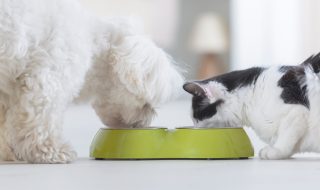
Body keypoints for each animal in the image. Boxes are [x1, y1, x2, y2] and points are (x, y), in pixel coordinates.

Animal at [0, 0, 182, 163]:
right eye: (145, 104)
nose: (143, 123)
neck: (93, 41)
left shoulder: (6, 89)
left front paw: (8, 152)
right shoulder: (49, 79)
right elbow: (42, 121)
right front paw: (51, 152)